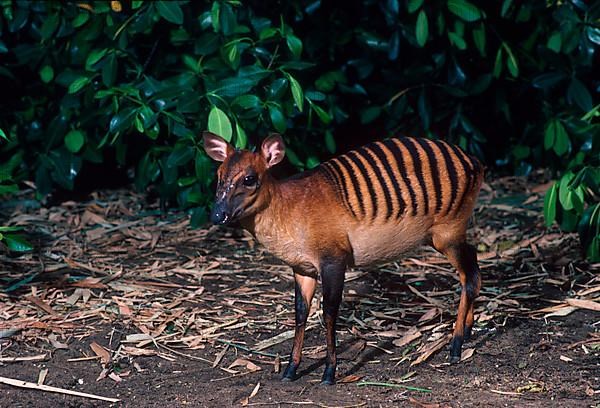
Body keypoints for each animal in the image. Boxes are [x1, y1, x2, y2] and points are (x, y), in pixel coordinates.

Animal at [204, 131, 486, 386]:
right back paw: (468, 330)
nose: (217, 215)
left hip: (448, 231)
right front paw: (290, 370)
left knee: (470, 275)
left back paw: (456, 346)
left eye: (249, 179)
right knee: (473, 266)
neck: (288, 208)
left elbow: (329, 312)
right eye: (218, 177)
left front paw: (329, 373)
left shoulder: (333, 260)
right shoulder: (302, 268)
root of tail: (474, 161)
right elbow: (300, 312)